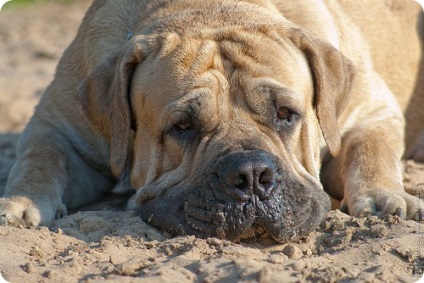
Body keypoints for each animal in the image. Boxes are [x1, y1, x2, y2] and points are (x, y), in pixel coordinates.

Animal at [0, 0, 424, 244]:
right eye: (182, 126)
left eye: (286, 114)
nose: (251, 175)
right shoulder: (57, 124)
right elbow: (40, 157)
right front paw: (20, 204)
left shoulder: (371, 109)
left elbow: (370, 147)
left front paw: (386, 199)